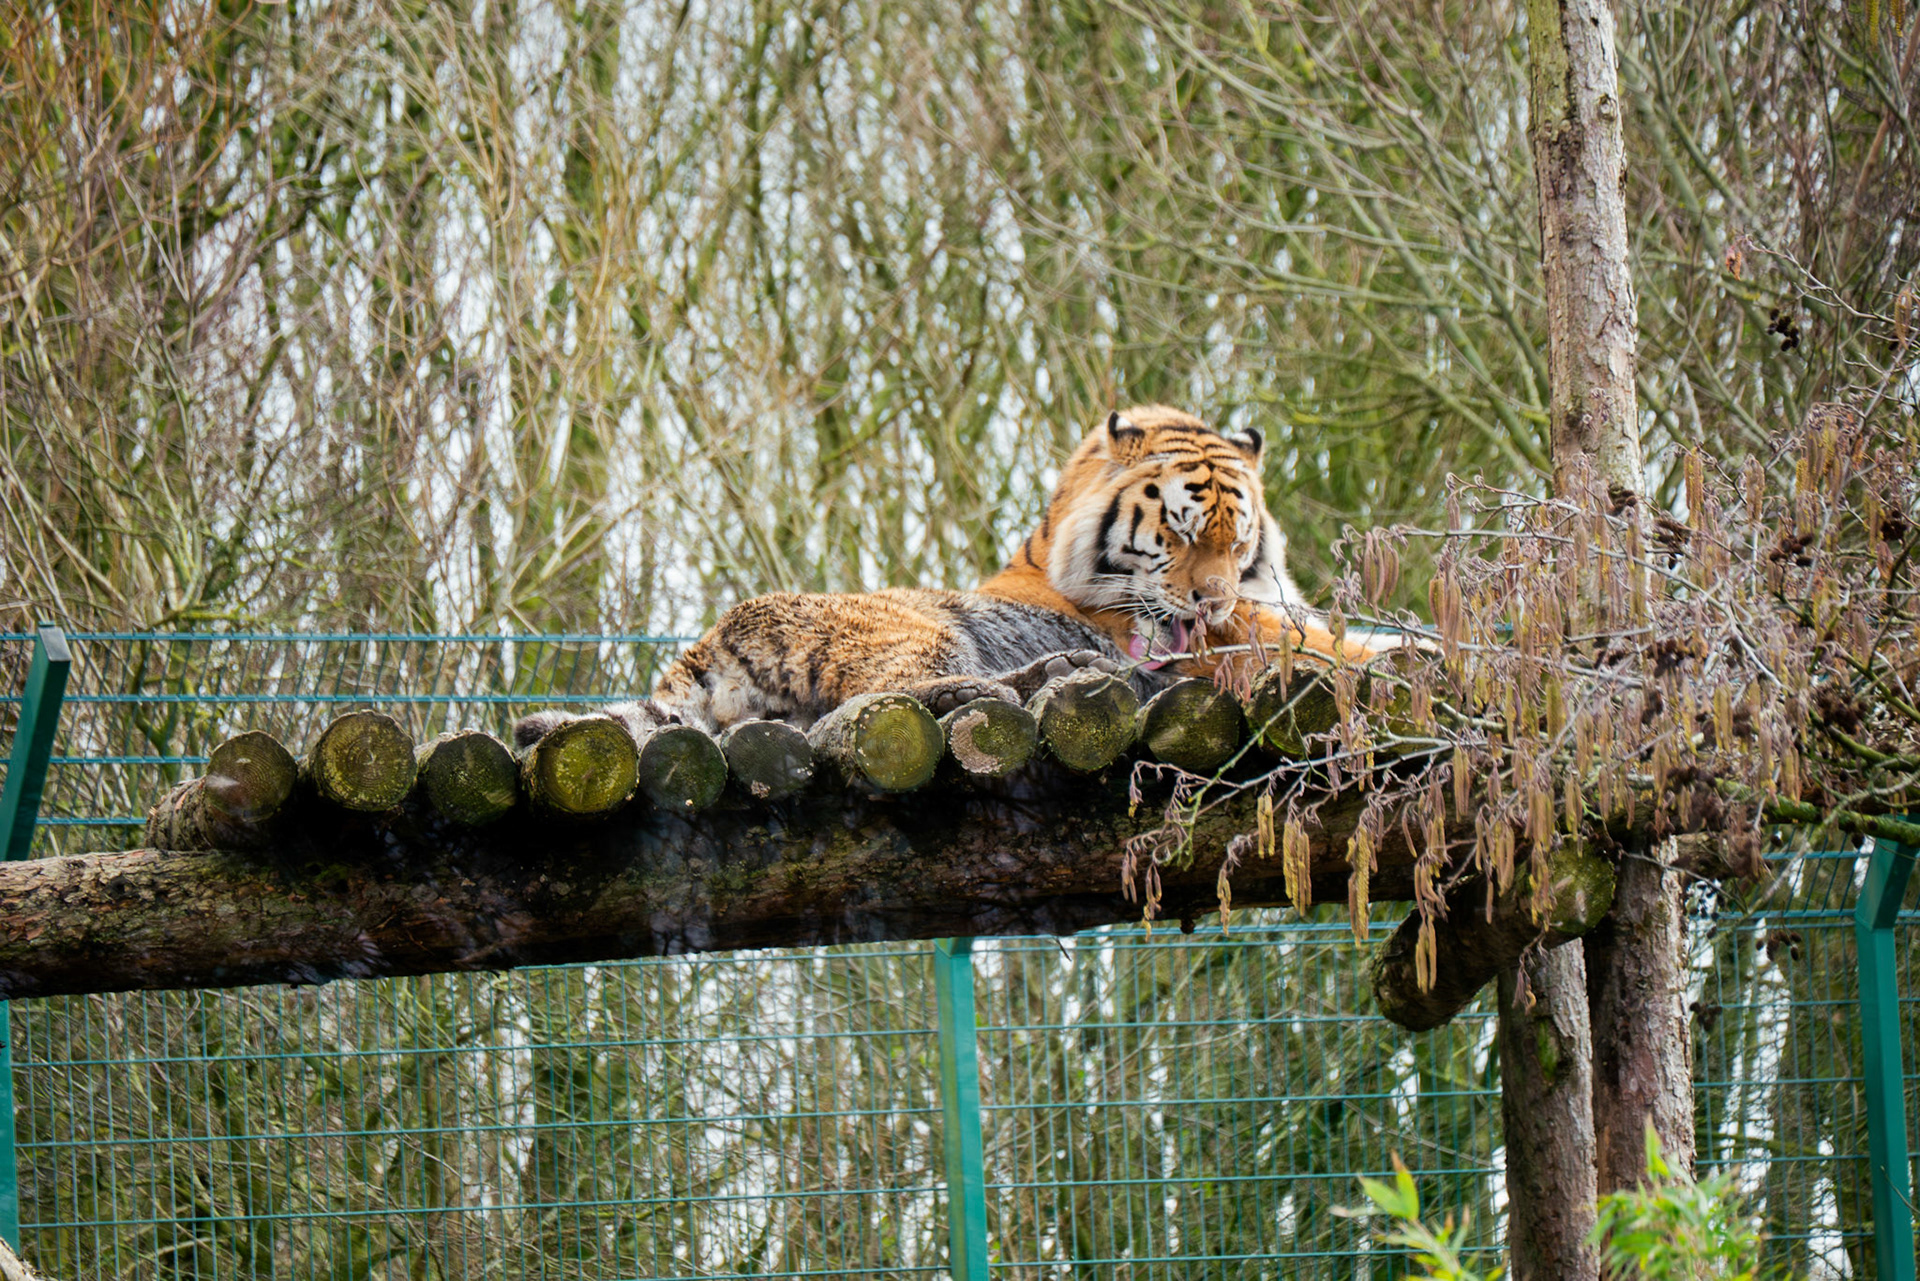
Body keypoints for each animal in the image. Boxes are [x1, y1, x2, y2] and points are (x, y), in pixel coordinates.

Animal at [514, 404, 1403, 746]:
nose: (1210, 600)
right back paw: (1051, 672)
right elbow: (1361, 648)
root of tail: (708, 646)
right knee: (887, 701)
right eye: (1182, 533)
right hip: (918, 628)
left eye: (1235, 534)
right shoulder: (1250, 634)